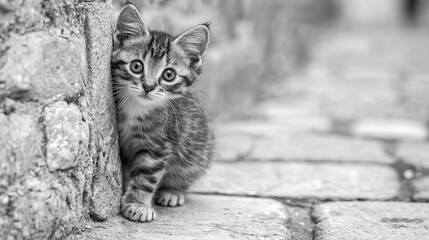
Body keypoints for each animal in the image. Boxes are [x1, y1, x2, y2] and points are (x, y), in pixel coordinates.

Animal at [111, 3, 213, 223]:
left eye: (169, 74)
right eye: (136, 66)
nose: (148, 87)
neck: (137, 108)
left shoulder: (161, 145)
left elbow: (147, 175)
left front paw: (138, 204)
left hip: (197, 153)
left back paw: (172, 192)